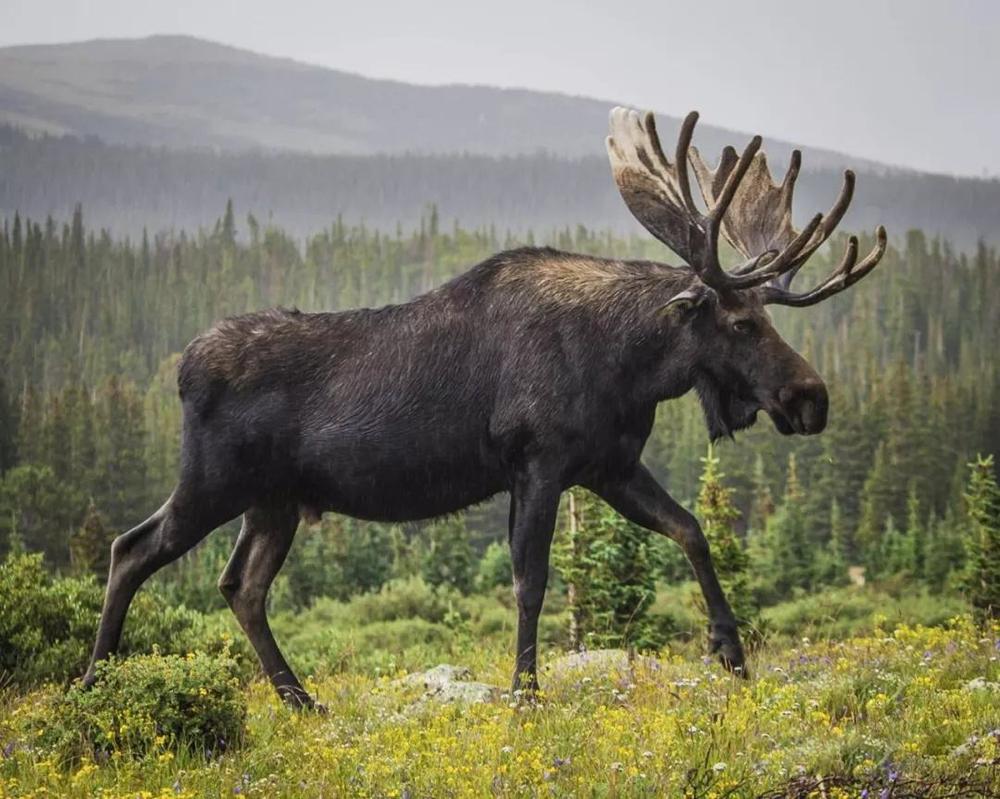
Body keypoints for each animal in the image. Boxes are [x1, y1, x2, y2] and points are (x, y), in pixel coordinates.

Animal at [84, 108, 884, 708]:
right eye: (742, 323)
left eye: (767, 316)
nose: (811, 398)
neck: (628, 366)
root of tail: (182, 367)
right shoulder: (540, 463)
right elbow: (531, 580)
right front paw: (525, 696)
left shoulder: (609, 466)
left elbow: (691, 529)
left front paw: (732, 651)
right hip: (214, 481)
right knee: (132, 549)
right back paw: (95, 683)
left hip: (274, 501)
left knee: (240, 586)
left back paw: (301, 699)